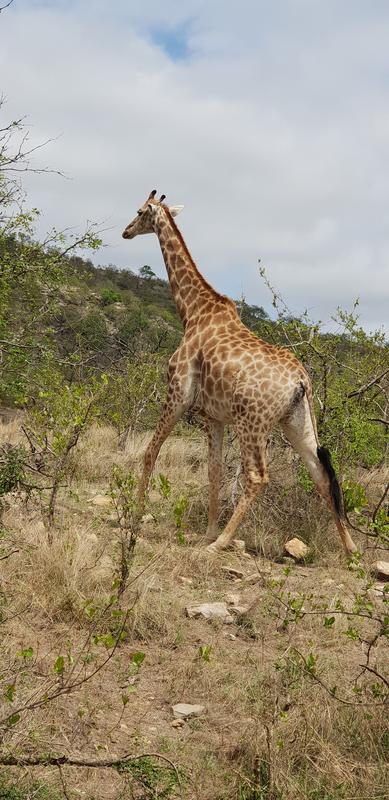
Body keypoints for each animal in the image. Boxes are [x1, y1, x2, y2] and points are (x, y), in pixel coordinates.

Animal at [123, 192, 356, 556]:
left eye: (138, 212)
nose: (126, 232)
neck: (193, 312)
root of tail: (301, 381)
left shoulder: (178, 393)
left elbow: (150, 453)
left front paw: (134, 518)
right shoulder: (214, 415)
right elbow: (214, 470)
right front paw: (206, 531)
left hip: (252, 422)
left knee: (258, 476)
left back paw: (222, 542)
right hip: (297, 423)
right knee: (322, 475)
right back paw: (351, 550)